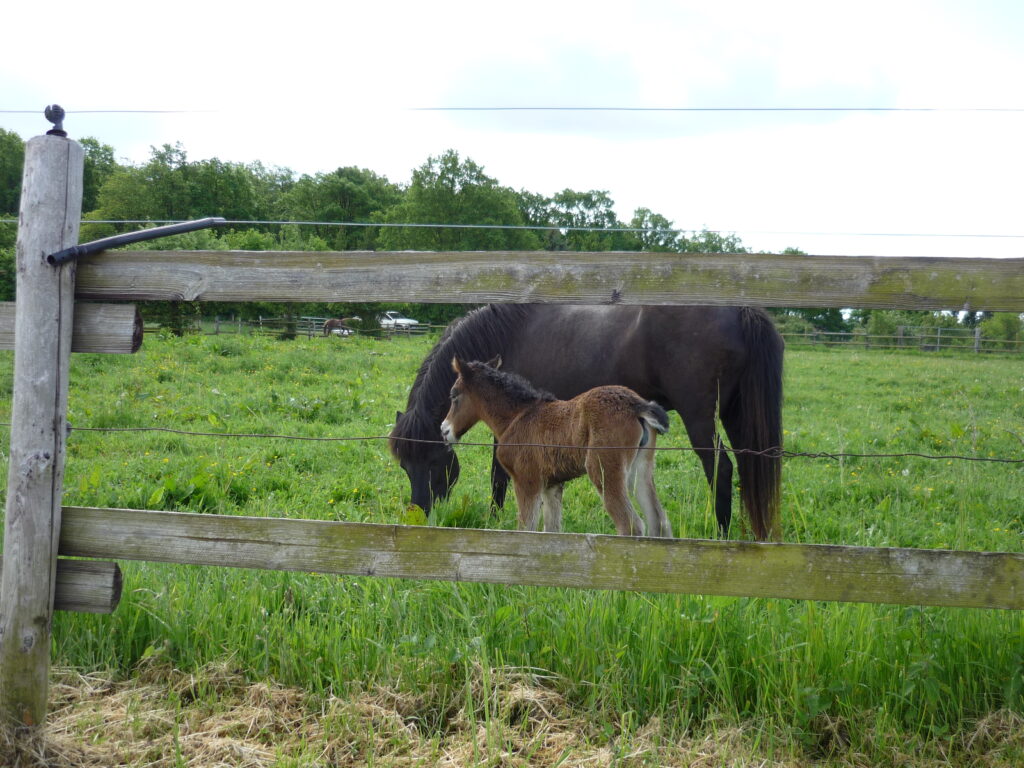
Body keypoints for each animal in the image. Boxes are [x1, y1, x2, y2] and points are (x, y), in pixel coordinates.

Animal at [438, 358, 671, 536]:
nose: (444, 430)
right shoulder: (552, 485)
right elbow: (552, 531)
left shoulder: (527, 480)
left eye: (453, 394)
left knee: (630, 525)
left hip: (604, 468)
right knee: (659, 521)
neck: (518, 416)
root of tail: (636, 405)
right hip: (639, 469)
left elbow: (526, 528)